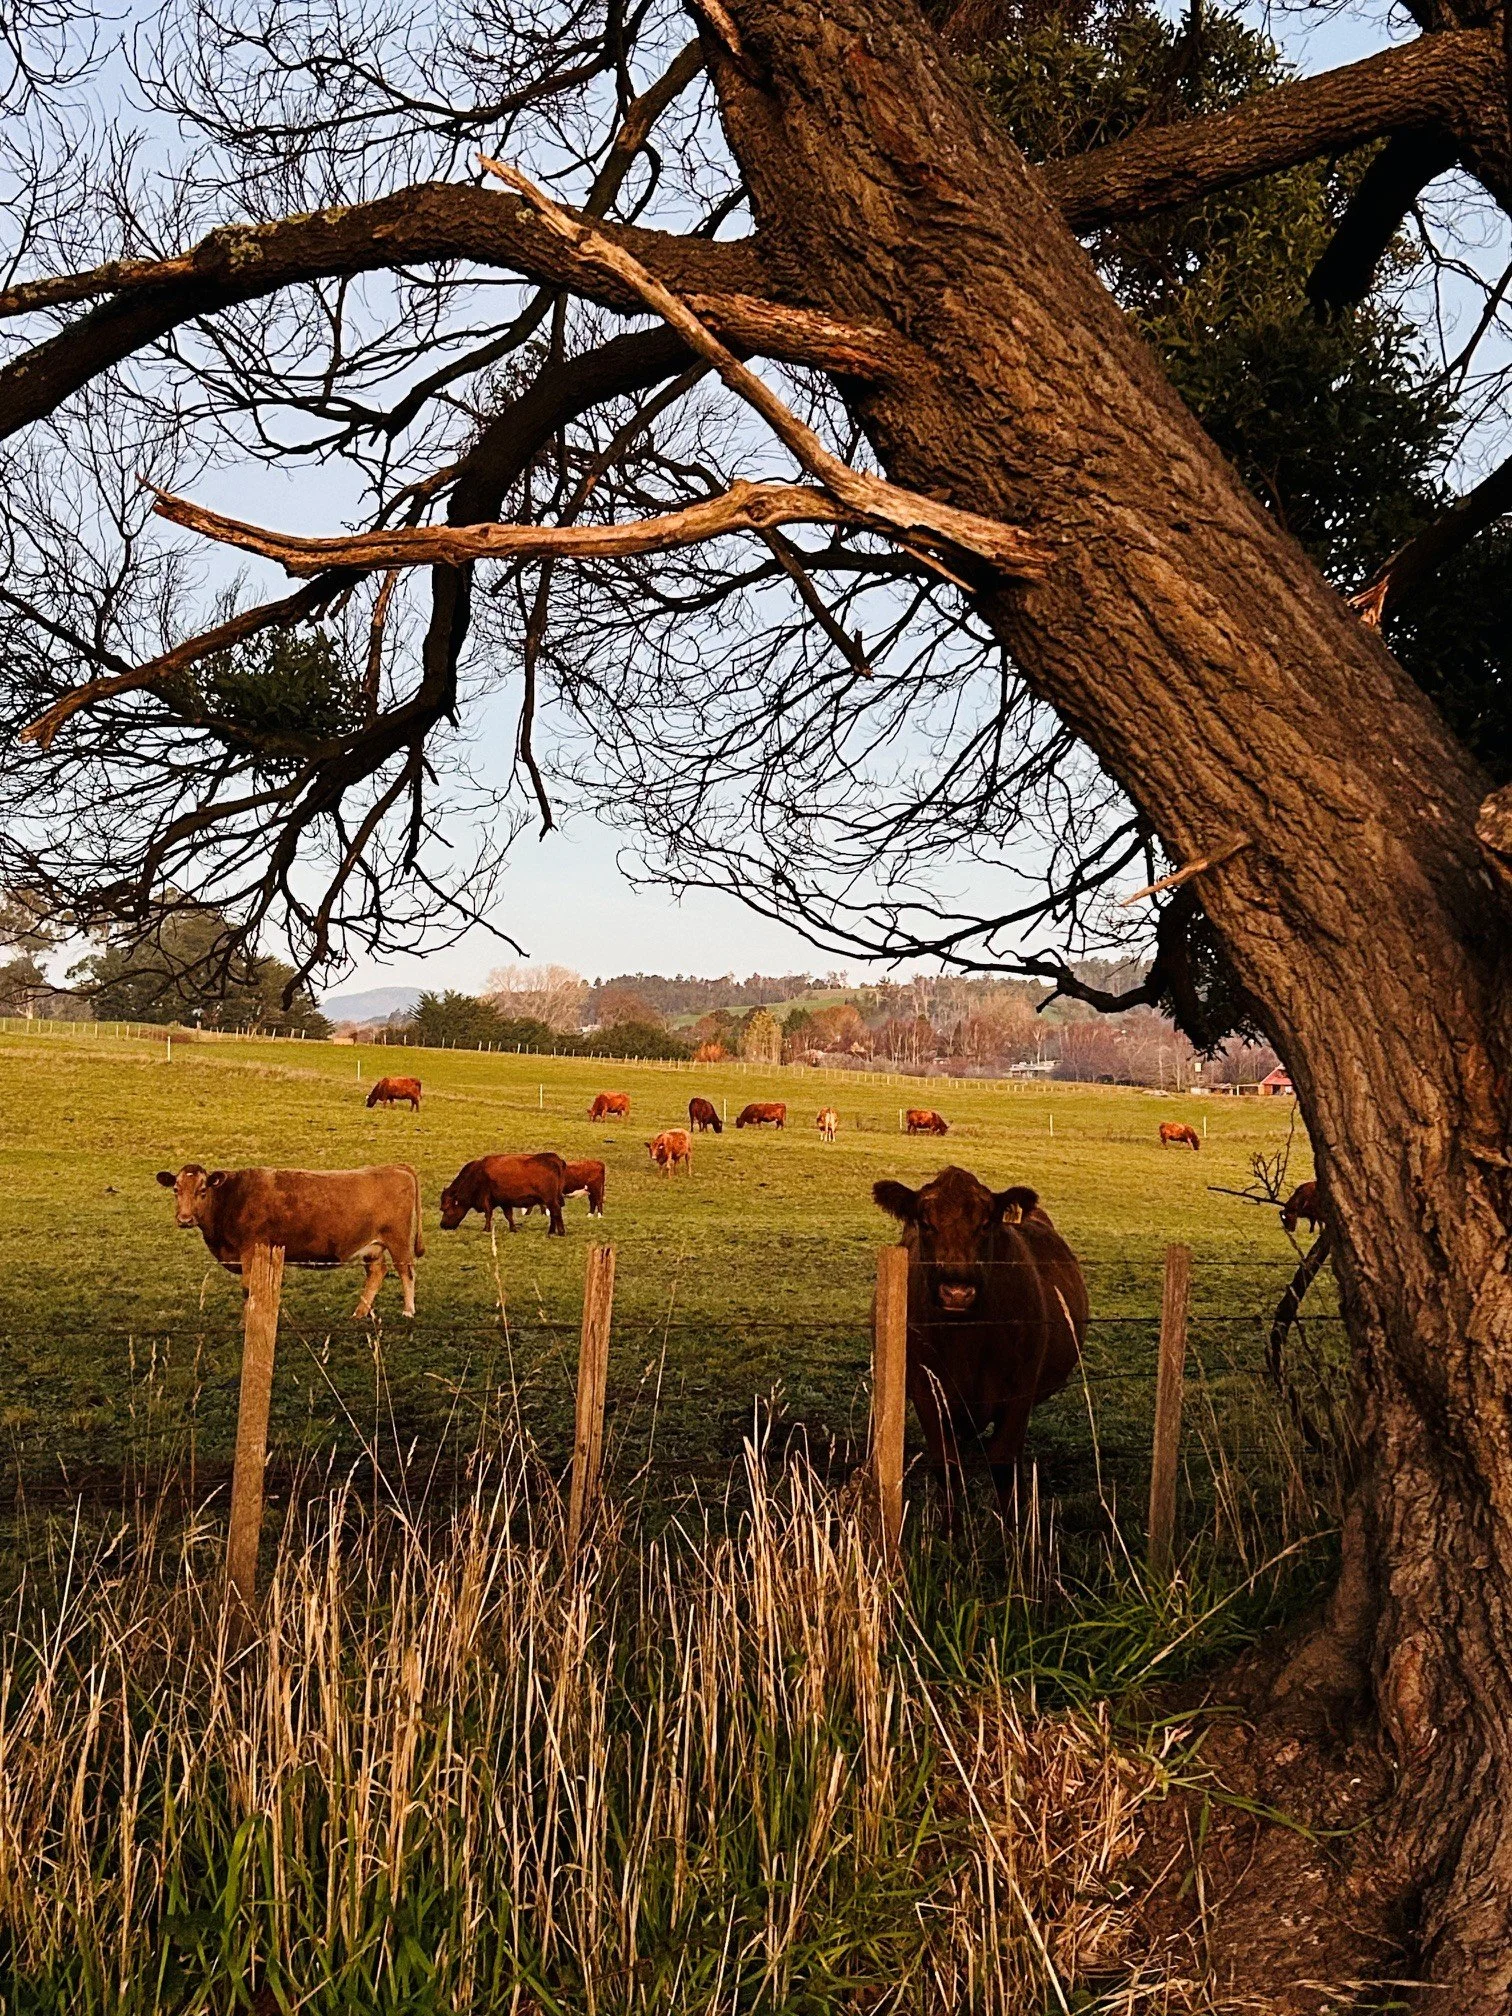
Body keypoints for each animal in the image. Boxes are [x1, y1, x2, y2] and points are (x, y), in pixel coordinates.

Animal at [157, 1163, 425, 1317]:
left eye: (202, 1190)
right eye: (176, 1190)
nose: (184, 1218)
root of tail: (395, 1167)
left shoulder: (251, 1249)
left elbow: (248, 1288)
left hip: (398, 1240)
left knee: (406, 1271)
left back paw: (408, 1311)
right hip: (372, 1247)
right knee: (377, 1273)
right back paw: (358, 1313)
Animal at [439, 1153, 567, 1235]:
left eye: (445, 1208)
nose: (442, 1225)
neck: (477, 1173)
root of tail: (555, 1159)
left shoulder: (486, 1199)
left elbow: (488, 1214)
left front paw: (486, 1229)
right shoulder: (505, 1202)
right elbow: (508, 1215)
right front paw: (513, 1229)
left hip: (550, 1199)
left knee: (556, 1211)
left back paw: (560, 1232)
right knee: (553, 1213)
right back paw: (551, 1231)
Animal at [873, 1165, 1087, 1522]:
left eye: (985, 1224)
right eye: (925, 1222)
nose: (957, 1292)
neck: (967, 1342)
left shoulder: (1020, 1391)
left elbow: (1002, 1461)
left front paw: (1013, 1532)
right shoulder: (926, 1389)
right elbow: (947, 1466)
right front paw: (950, 1531)